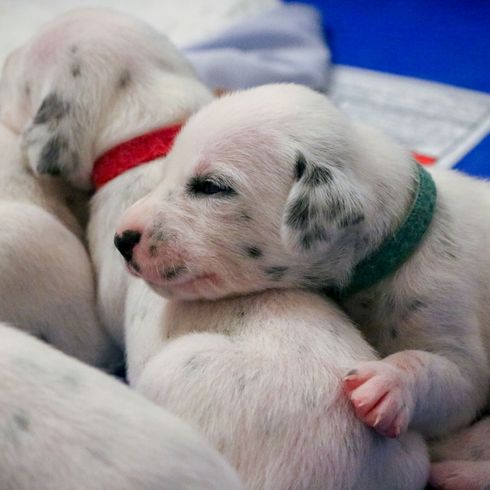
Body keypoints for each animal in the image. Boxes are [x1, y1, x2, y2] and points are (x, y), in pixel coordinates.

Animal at [115, 84, 490, 448]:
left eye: (210, 187)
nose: (120, 239)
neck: (402, 239)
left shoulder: (451, 325)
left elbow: (453, 379)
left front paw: (390, 382)